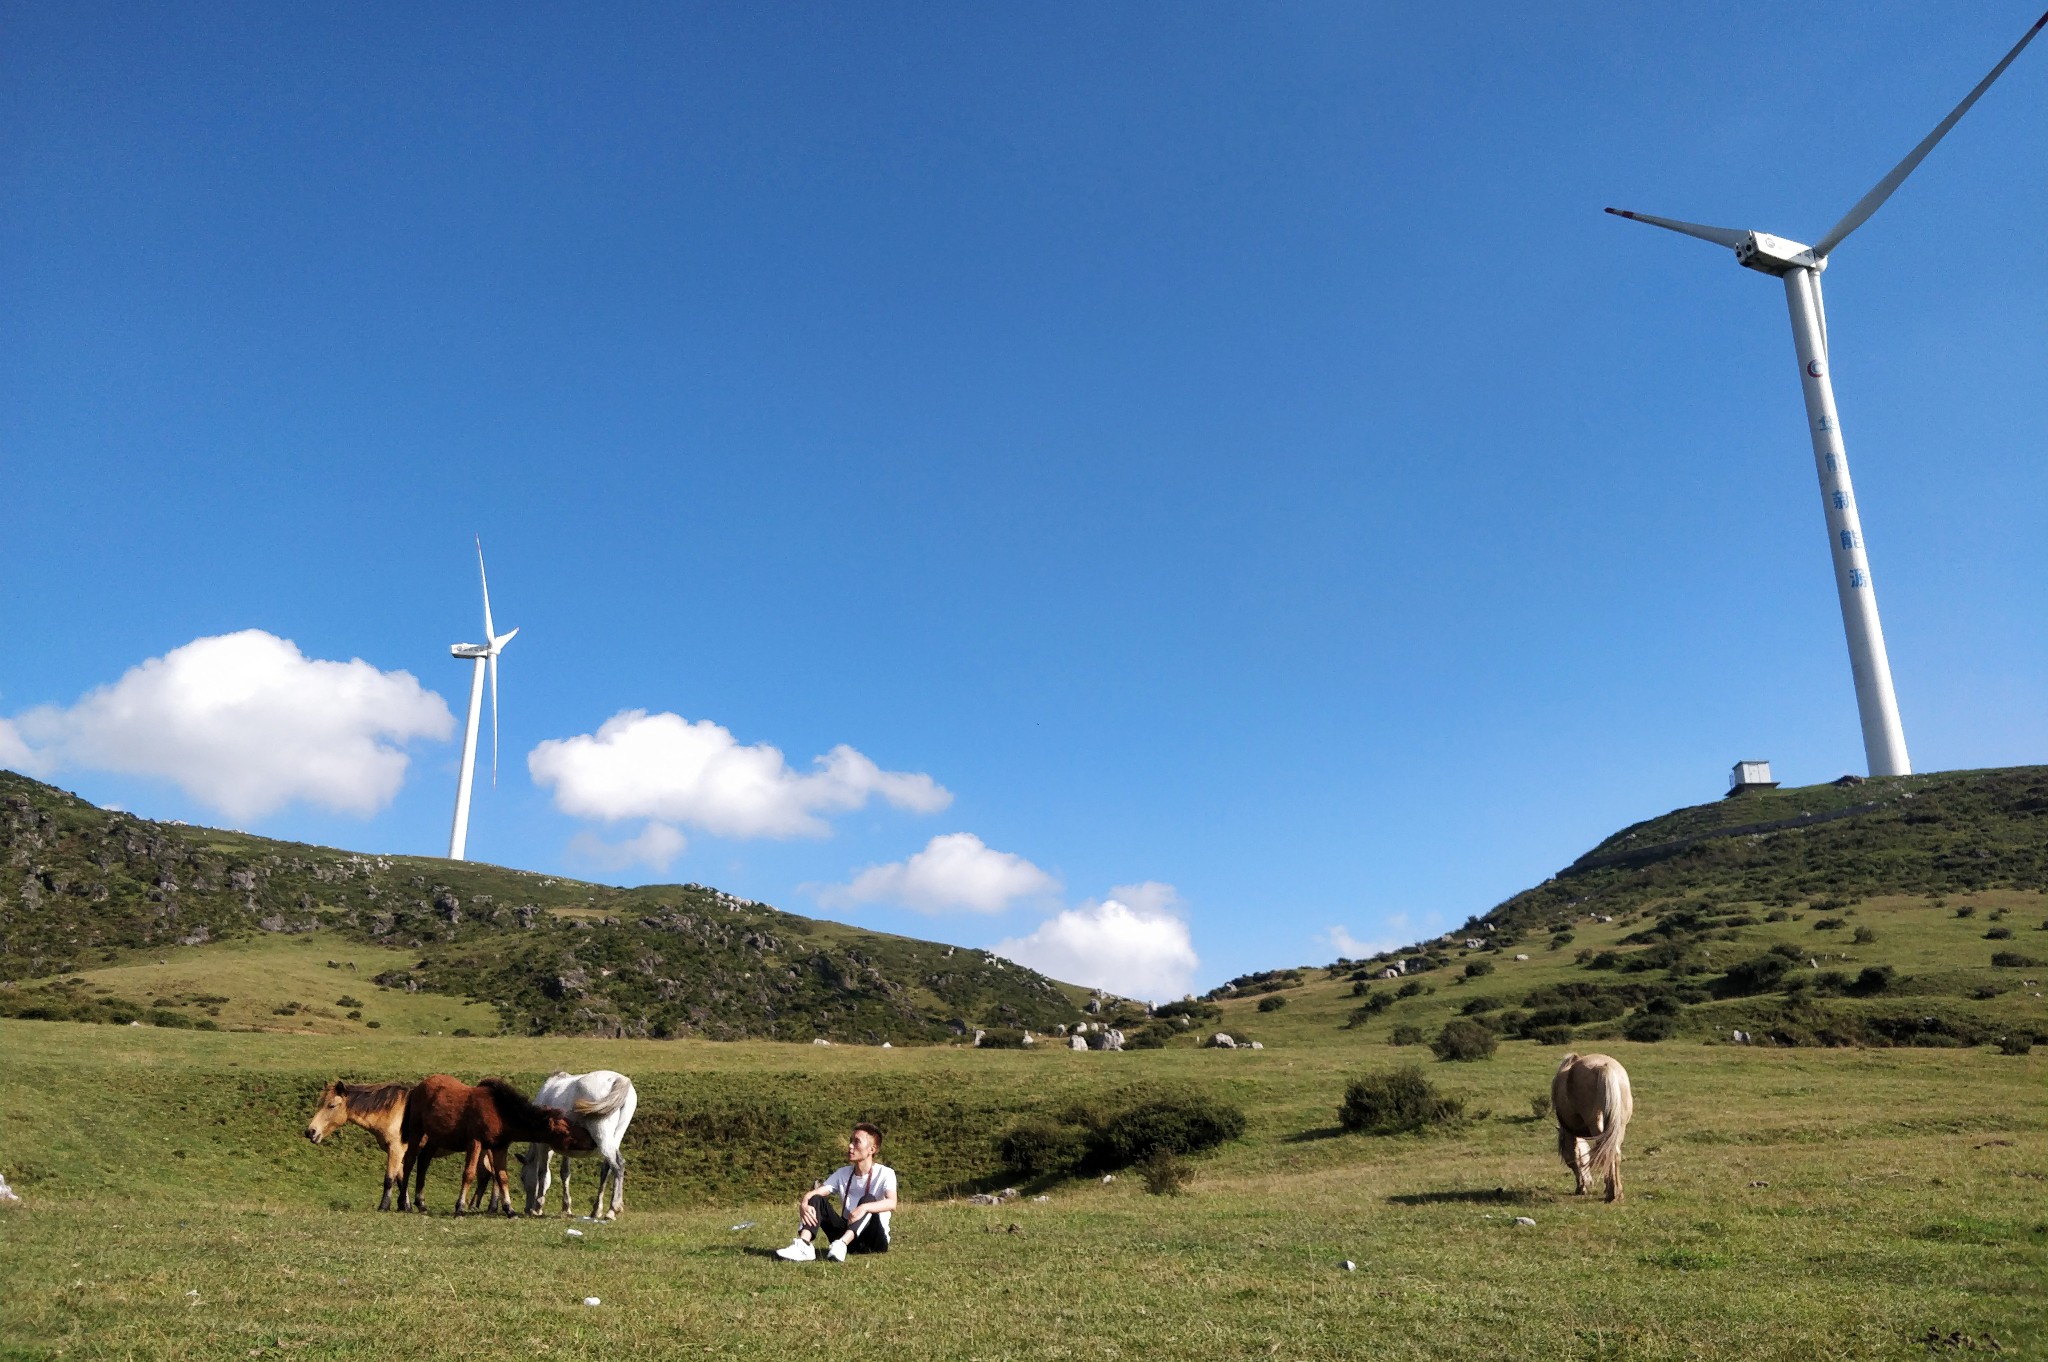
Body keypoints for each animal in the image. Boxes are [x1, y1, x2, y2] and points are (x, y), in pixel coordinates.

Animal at [397, 1081, 585, 1212]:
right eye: (564, 1130)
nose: (588, 1138)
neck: (499, 1113)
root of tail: (418, 1088)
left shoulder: (499, 1147)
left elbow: (502, 1177)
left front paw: (509, 1208)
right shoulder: (475, 1143)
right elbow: (469, 1174)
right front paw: (460, 1206)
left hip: (434, 1139)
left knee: (423, 1162)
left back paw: (420, 1202)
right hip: (416, 1132)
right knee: (409, 1162)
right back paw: (403, 1203)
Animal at [516, 1065, 634, 1212]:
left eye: (522, 1177)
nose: (527, 1209)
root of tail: (618, 1079)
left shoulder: (543, 1145)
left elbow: (542, 1173)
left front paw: (538, 1207)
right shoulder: (567, 1146)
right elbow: (565, 1173)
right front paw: (566, 1207)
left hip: (603, 1137)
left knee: (617, 1166)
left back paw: (613, 1209)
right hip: (615, 1138)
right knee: (607, 1169)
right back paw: (596, 1210)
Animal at [1548, 1048, 1630, 1204]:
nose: (1585, 1185)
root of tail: (1604, 1067)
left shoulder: (1569, 1133)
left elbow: (1574, 1153)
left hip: (1596, 1124)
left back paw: (1611, 1194)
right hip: (1619, 1126)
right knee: (1614, 1152)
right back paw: (1618, 1193)